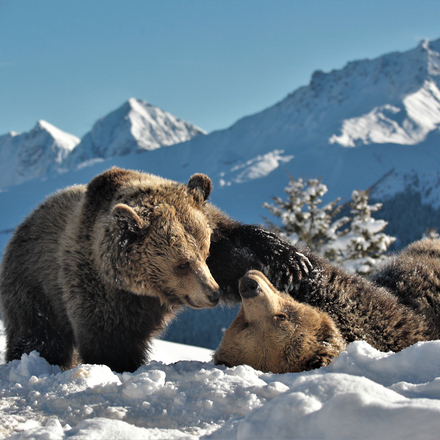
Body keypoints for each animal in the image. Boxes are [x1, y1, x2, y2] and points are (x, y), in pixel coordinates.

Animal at [0, 167, 241, 372]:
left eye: (205, 253)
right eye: (182, 264)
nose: (213, 293)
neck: (146, 291)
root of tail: (26, 221)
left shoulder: (218, 236)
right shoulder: (99, 289)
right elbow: (111, 343)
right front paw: (119, 366)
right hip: (36, 287)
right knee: (41, 337)